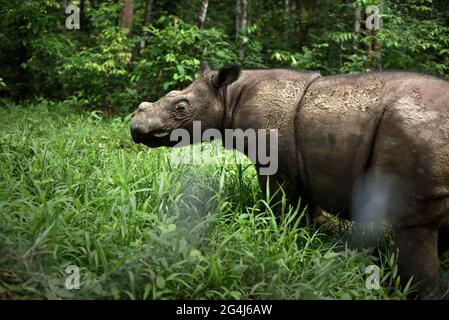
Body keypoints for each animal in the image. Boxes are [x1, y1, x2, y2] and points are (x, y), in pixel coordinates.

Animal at [130, 62, 448, 298]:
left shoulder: (275, 167)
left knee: (414, 226)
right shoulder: (307, 168)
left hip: (415, 131)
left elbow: (279, 207)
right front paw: (317, 237)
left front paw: (277, 236)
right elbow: (311, 211)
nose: (135, 127)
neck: (229, 95)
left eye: (181, 108)